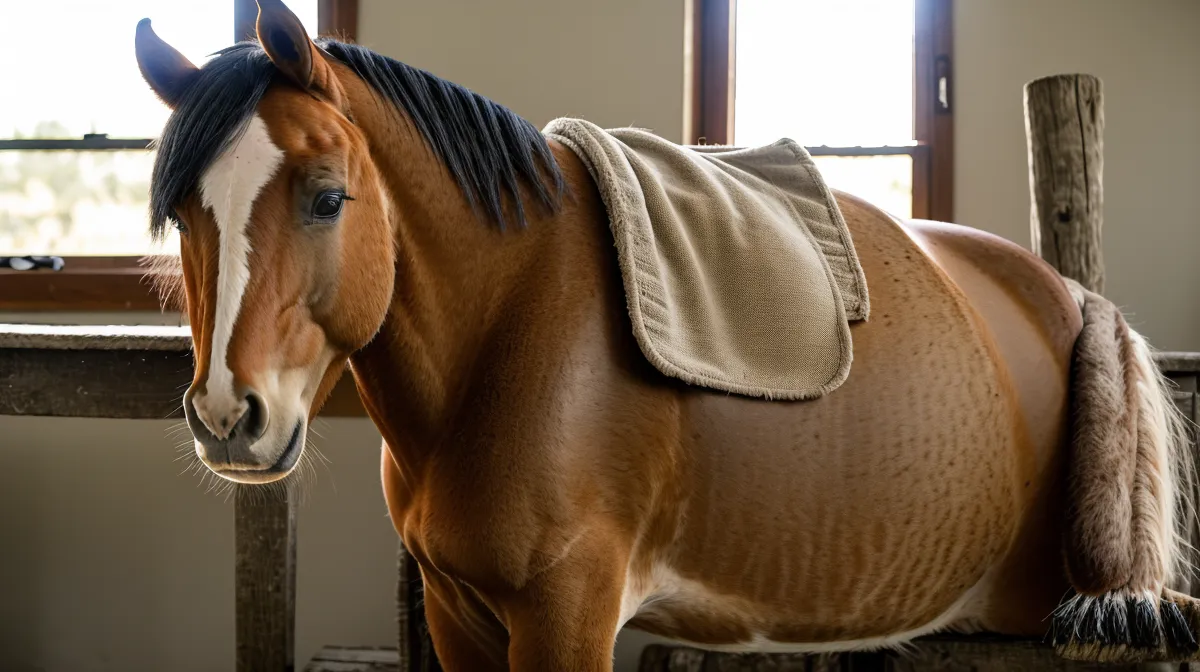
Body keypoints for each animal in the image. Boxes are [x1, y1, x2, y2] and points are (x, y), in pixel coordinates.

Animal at [134, 1, 1200, 668]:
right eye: (184, 213)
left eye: (326, 197)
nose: (229, 417)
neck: (504, 330)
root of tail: (1065, 295)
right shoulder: (460, 615)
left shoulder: (566, 616)